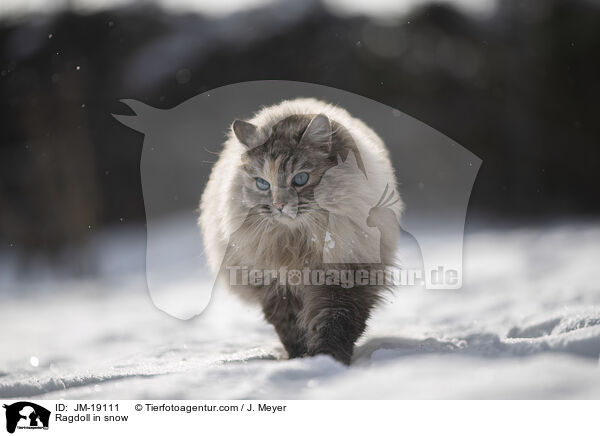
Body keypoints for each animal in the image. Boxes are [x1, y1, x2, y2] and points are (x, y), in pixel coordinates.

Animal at [200, 99, 404, 364]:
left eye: (300, 179)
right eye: (262, 183)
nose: (278, 205)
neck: (299, 242)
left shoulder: (344, 277)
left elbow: (335, 322)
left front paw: (328, 359)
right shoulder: (275, 286)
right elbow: (292, 327)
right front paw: (302, 358)